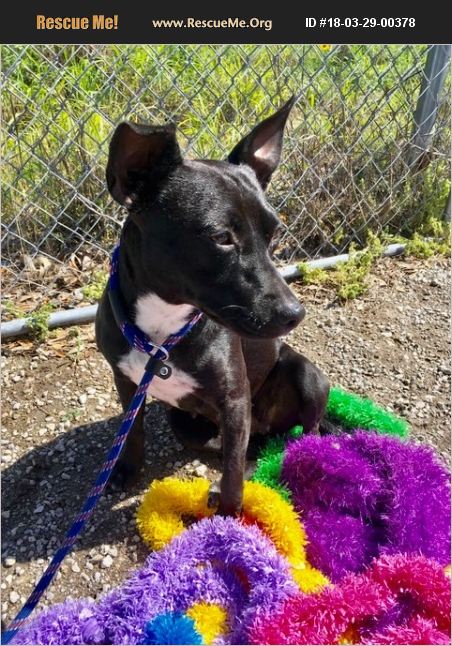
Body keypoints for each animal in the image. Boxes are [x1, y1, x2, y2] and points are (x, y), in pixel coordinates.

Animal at [95, 96, 330, 515]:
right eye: (221, 237)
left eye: (273, 233)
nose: (295, 314)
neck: (162, 330)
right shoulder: (125, 380)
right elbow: (132, 431)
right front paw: (126, 469)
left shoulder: (234, 401)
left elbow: (233, 474)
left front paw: (228, 517)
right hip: (186, 421)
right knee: (236, 447)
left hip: (306, 376)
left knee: (304, 432)